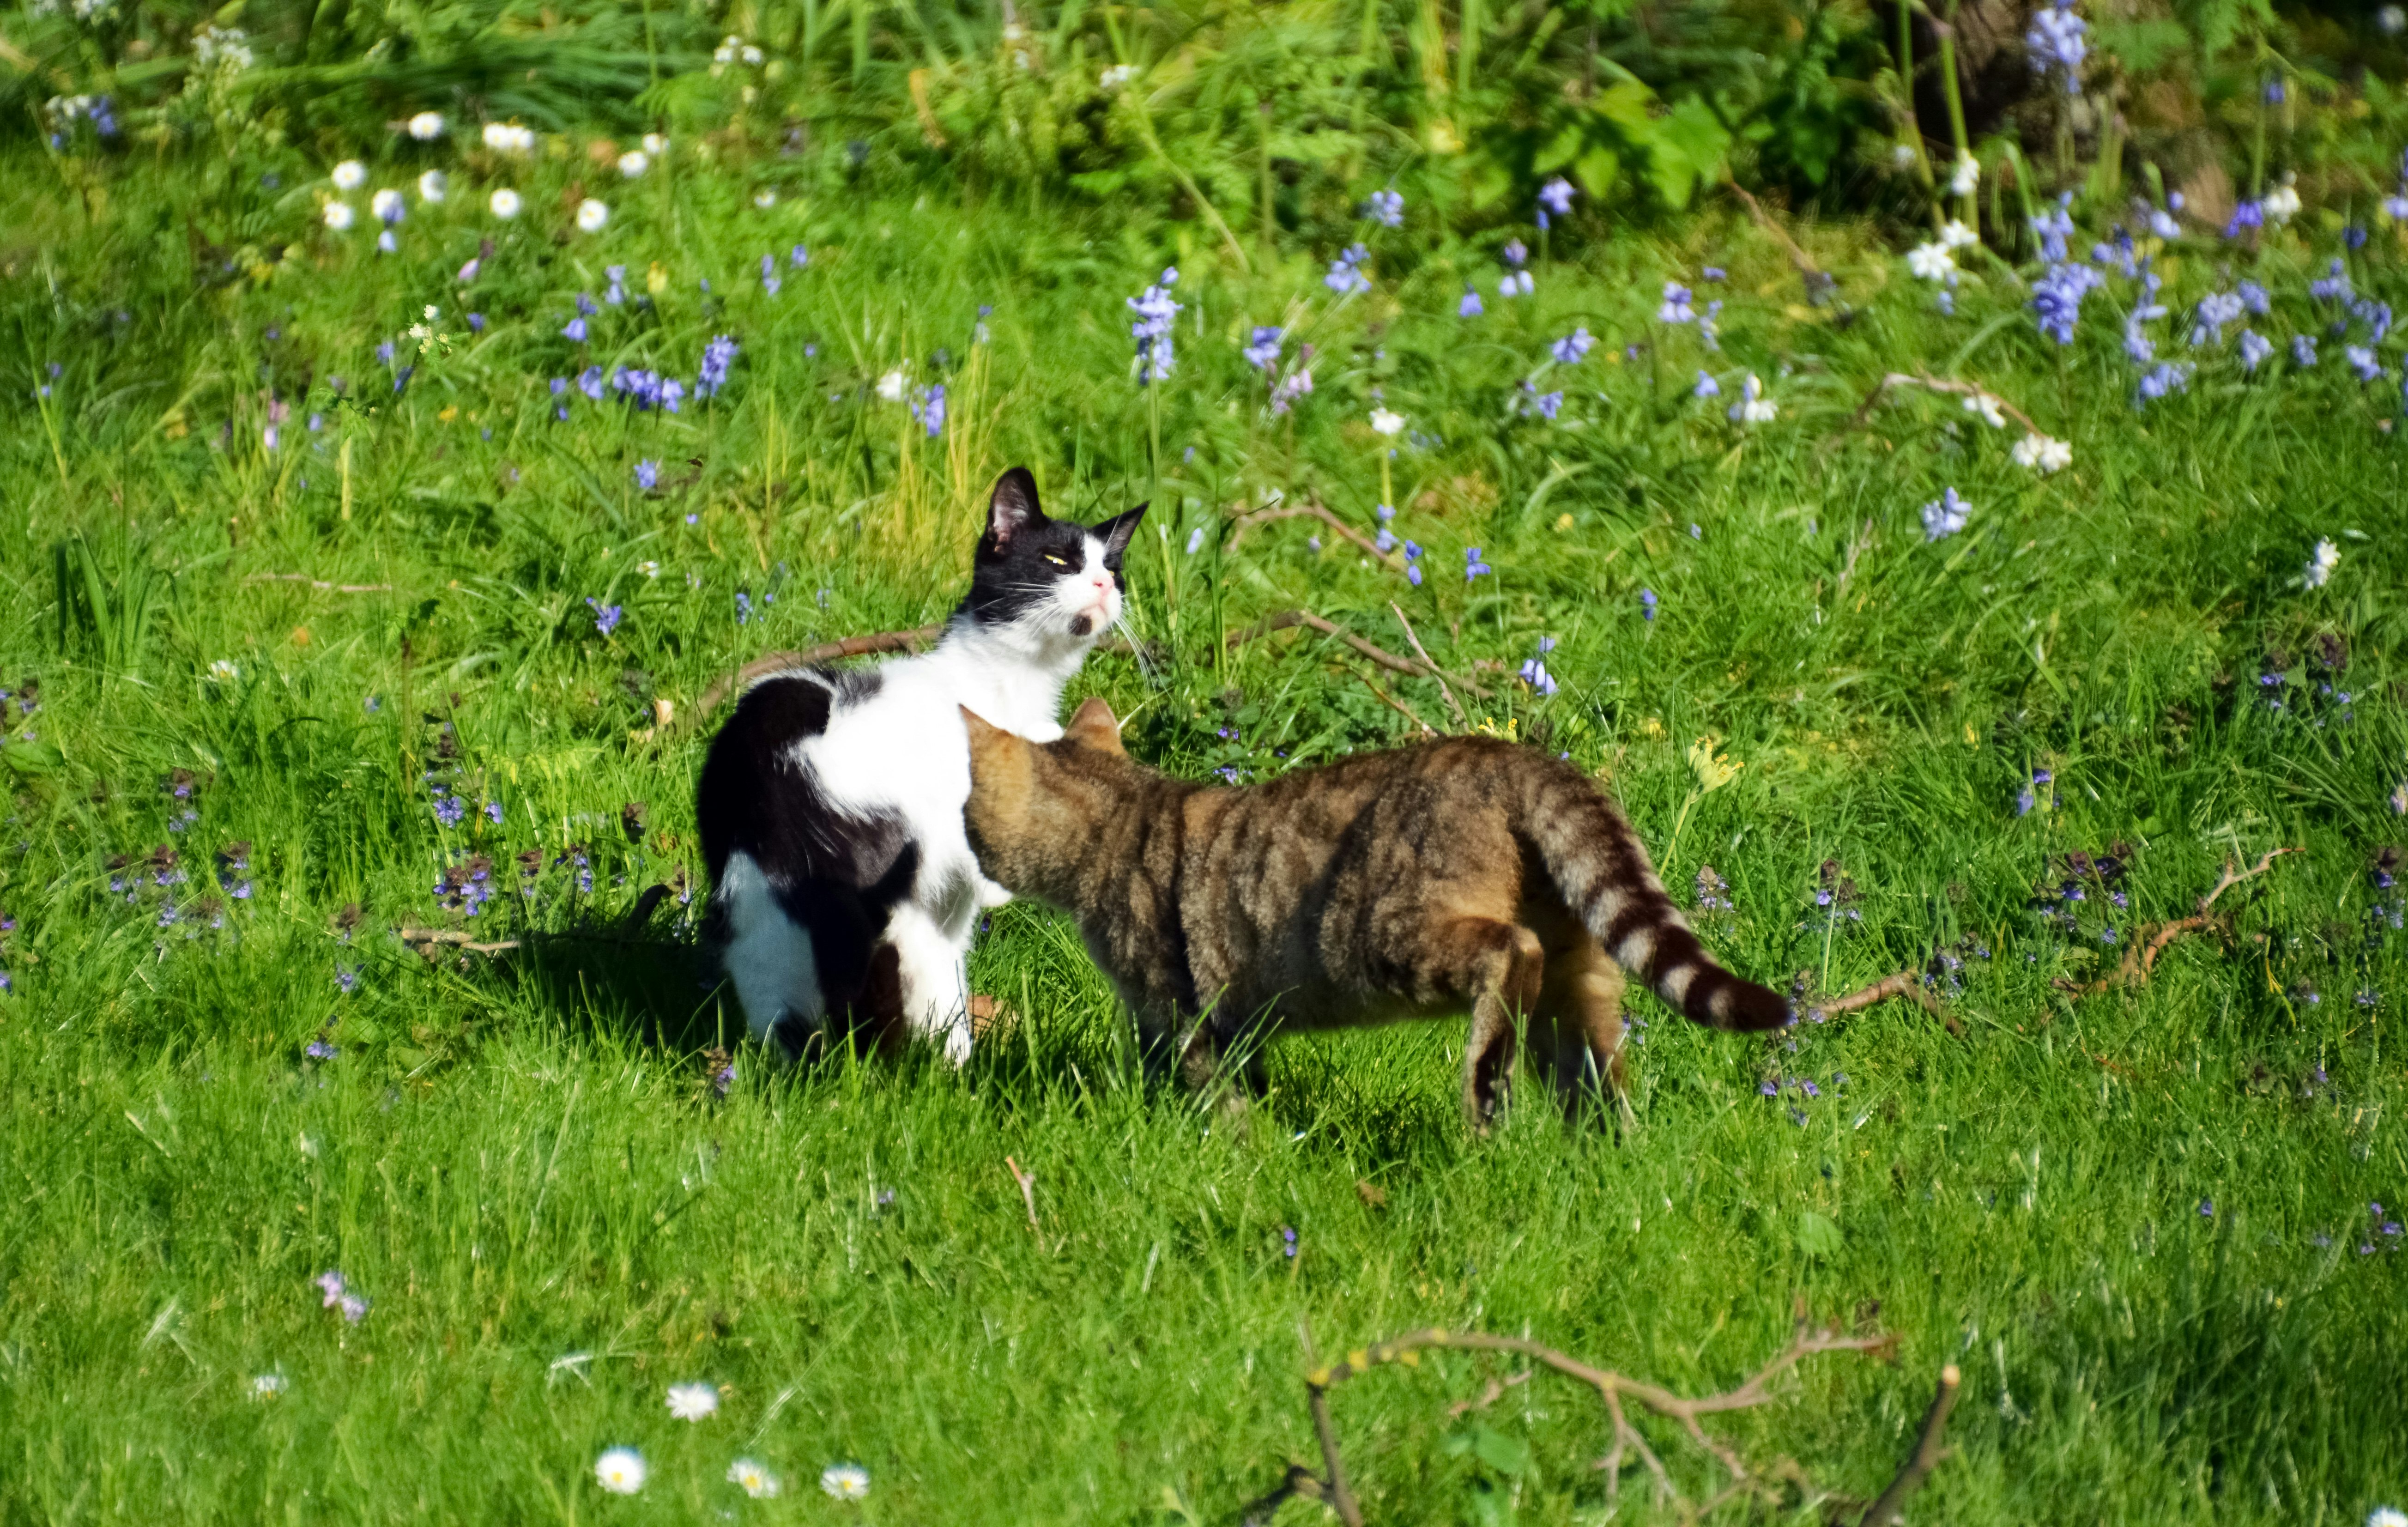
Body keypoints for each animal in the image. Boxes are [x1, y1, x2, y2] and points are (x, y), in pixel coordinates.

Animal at [698, 469, 1146, 1064]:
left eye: (1113, 569)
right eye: (1057, 560)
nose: (1102, 586)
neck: (1008, 687)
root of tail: (781, 778)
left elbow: (940, 982)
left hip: (761, 906)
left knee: (788, 1001)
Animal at [958, 693, 1791, 1122]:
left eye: (967, 812)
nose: (965, 847)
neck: (1121, 812)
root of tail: (1510, 754)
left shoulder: (1179, 1008)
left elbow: (1211, 1095)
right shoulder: (1228, 1022)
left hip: (1383, 940)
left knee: (1507, 956)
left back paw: (1484, 1092)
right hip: (1577, 978)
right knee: (1596, 1071)